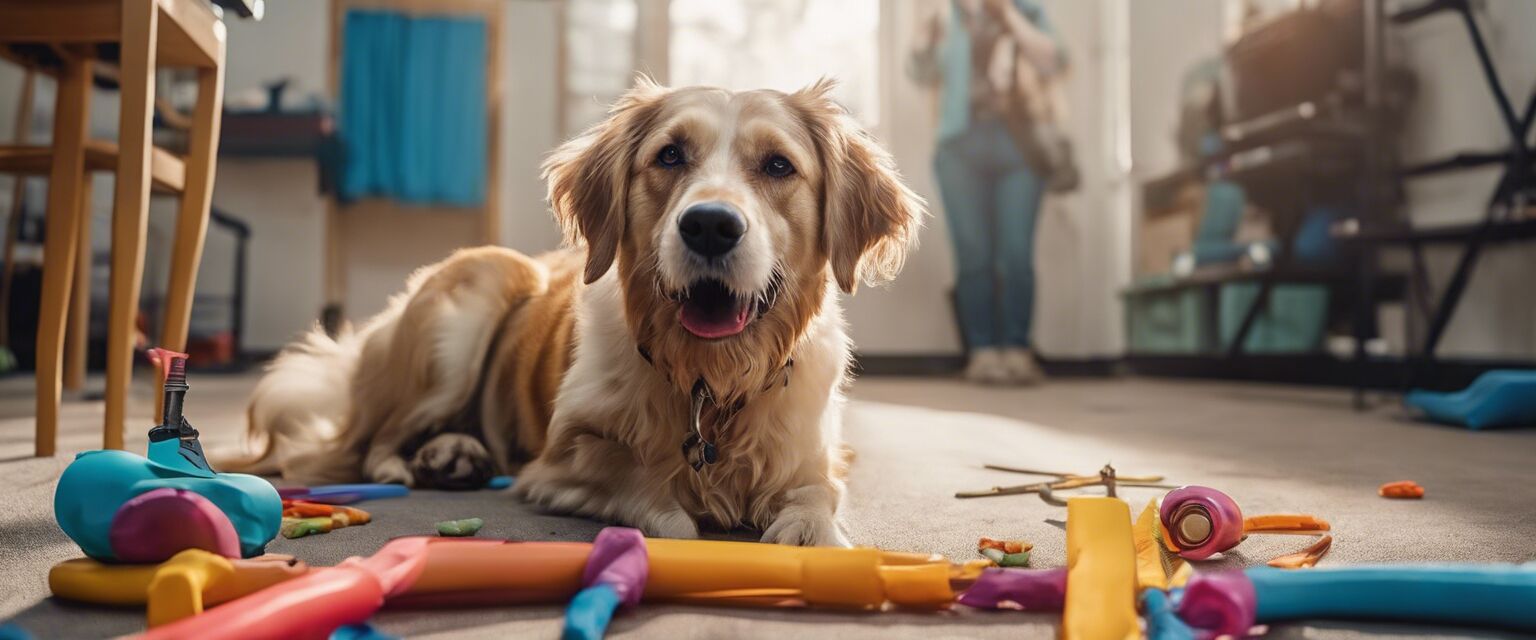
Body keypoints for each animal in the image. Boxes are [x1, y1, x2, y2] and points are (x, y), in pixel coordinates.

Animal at [233, 79, 915, 543]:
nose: (710, 226)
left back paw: (454, 454)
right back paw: (411, 464)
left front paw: (813, 534)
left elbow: (817, 495)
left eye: (778, 166)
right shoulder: (562, 458)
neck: (710, 381)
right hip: (476, 297)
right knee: (371, 441)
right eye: (670, 156)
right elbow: (639, 477)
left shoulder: (816, 451)